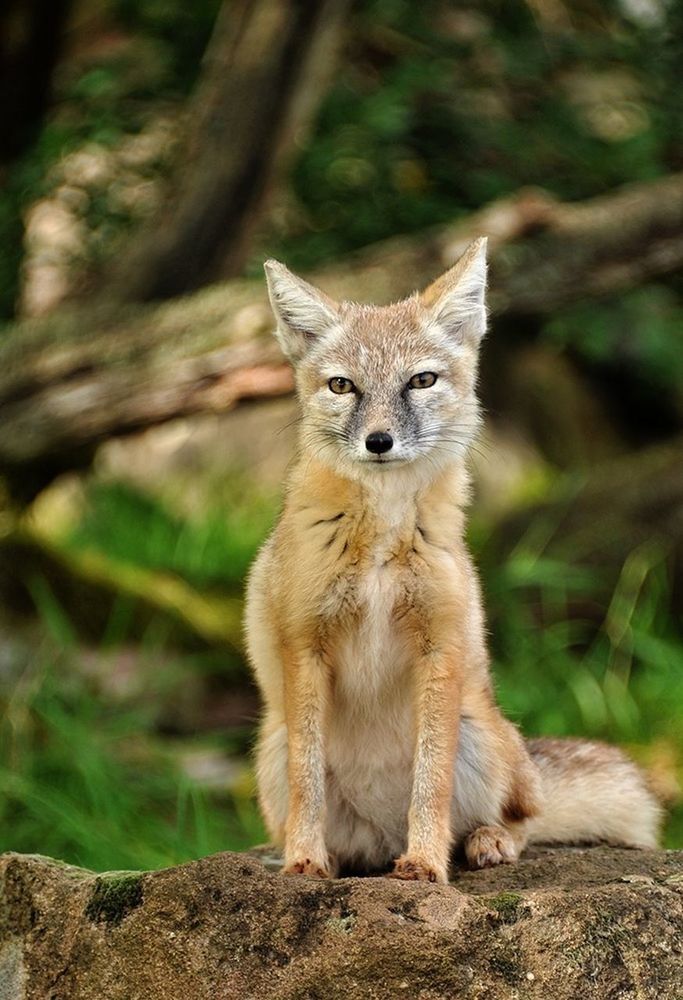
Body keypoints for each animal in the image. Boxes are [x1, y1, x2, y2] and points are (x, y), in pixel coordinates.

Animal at [244, 242, 664, 884]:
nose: (379, 441)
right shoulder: (304, 646)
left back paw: (483, 842)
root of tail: (379, 840)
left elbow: (431, 780)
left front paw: (425, 863)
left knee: (525, 819)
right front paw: (305, 862)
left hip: (483, 737)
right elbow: (307, 783)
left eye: (421, 381)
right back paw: (340, 858)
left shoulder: (438, 647)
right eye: (342, 386)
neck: (382, 543)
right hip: (273, 745)